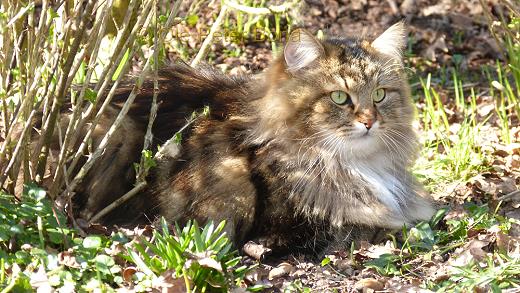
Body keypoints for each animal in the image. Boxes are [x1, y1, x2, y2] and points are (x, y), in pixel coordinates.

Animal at [66, 21, 434, 254]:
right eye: (340, 98)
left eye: (380, 95)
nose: (370, 121)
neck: (353, 163)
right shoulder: (294, 223)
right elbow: (367, 224)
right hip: (120, 135)